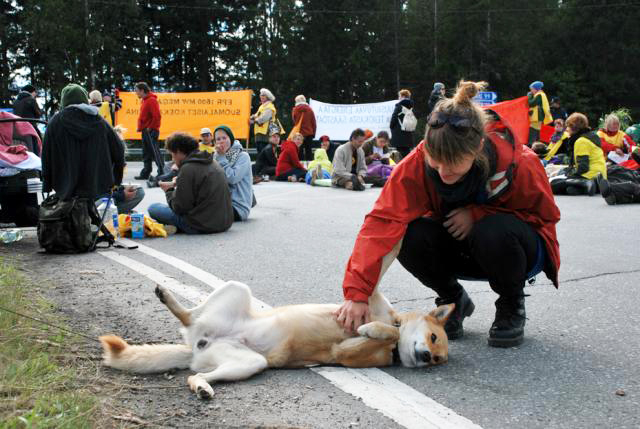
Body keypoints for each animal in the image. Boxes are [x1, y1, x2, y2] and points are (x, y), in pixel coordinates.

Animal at [100, 280, 452, 398]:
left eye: (438, 359)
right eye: (433, 337)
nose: (427, 358)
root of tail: (196, 346)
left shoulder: (342, 353)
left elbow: (387, 332)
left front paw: (377, 332)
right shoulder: (370, 303)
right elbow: (384, 319)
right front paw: (374, 327)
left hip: (248, 363)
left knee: (195, 374)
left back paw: (201, 387)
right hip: (237, 289)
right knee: (190, 316)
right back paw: (167, 297)